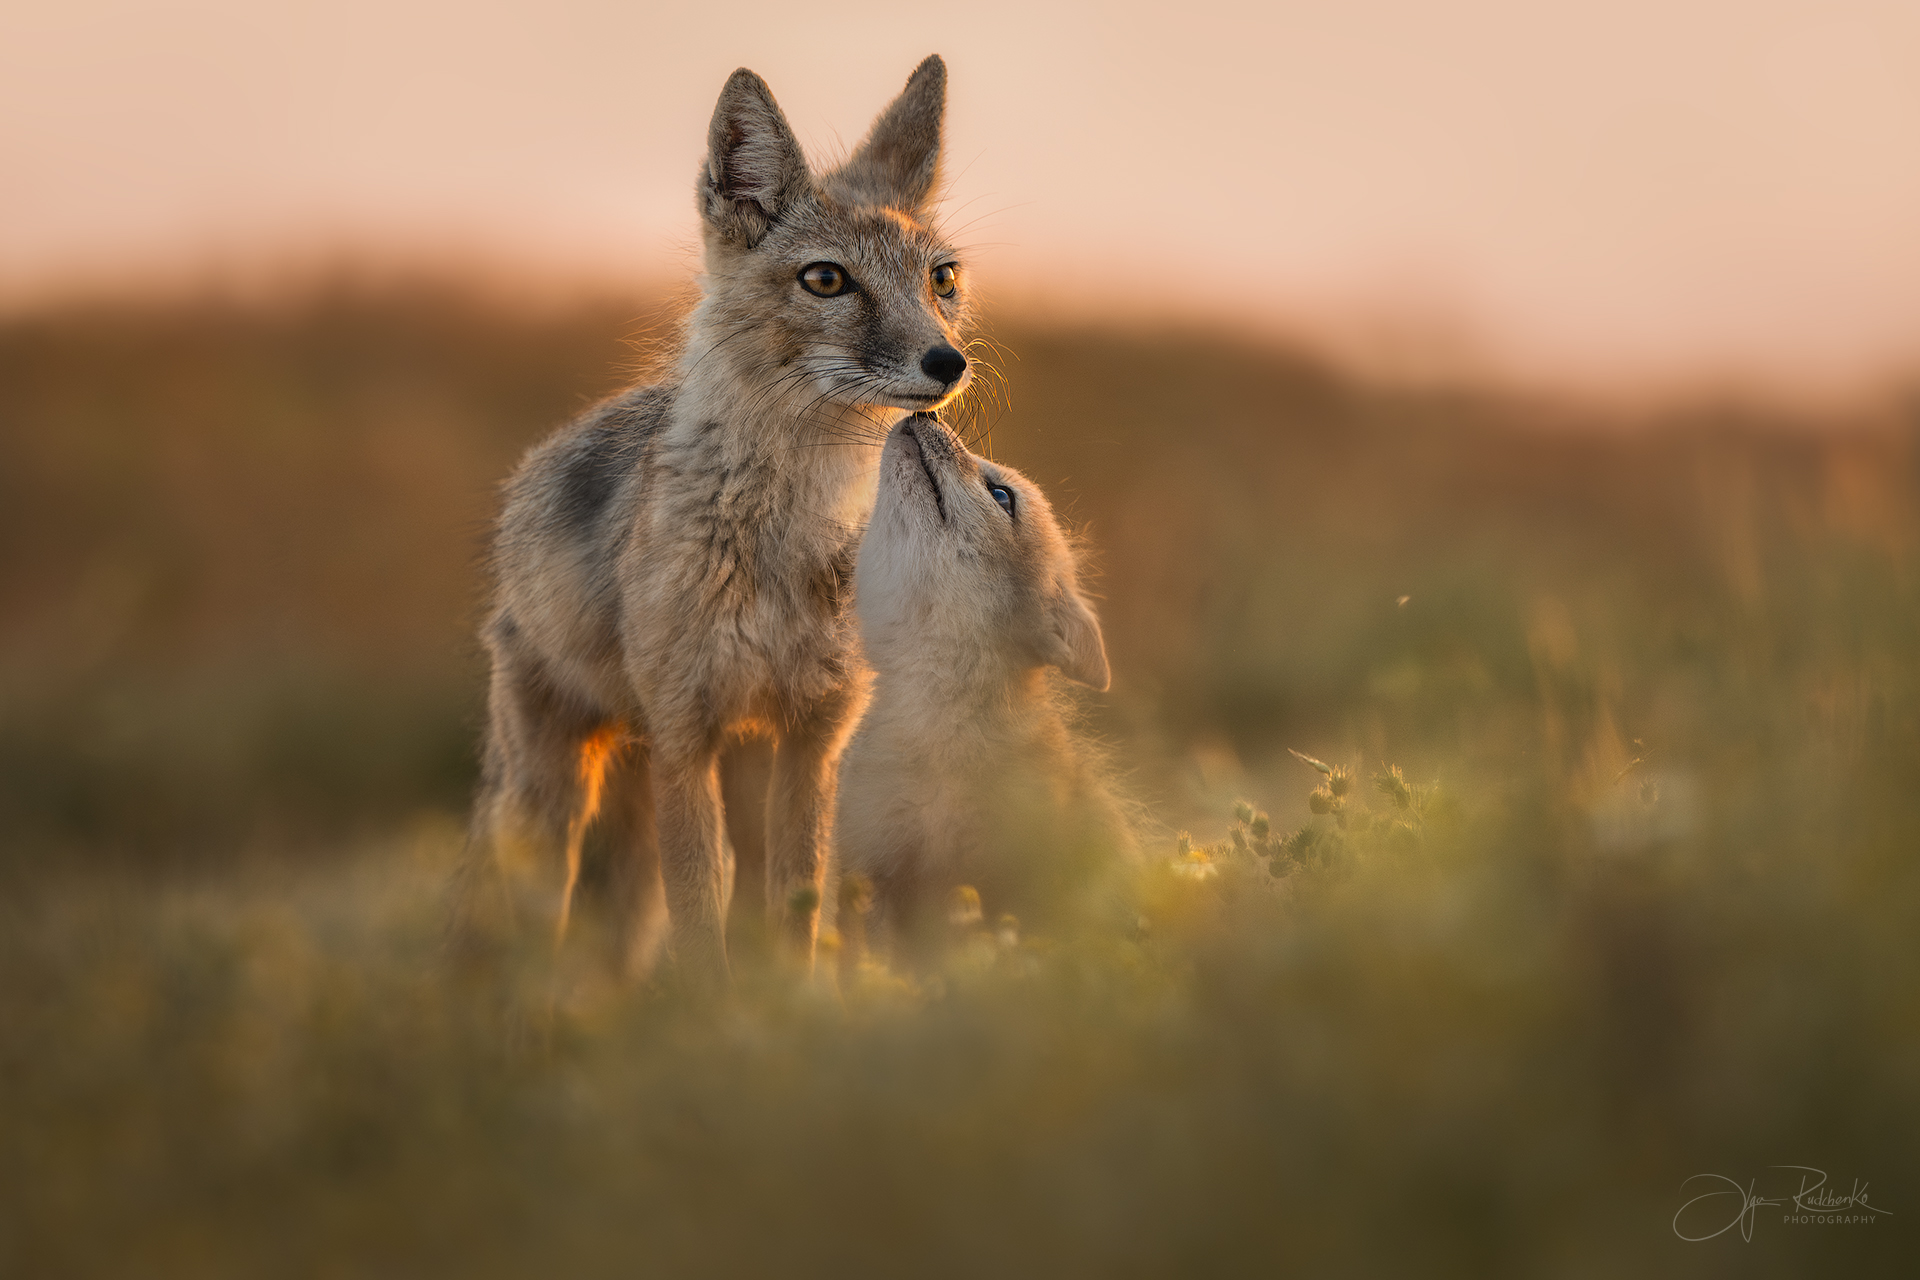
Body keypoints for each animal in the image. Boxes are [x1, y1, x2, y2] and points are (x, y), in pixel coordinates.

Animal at [450, 56, 972, 988]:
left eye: (941, 279)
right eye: (826, 279)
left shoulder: (811, 739)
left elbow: (796, 907)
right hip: (556, 797)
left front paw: (787, 1009)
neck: (786, 535)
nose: (946, 362)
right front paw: (715, 1015)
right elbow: (703, 914)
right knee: (530, 926)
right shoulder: (685, 736)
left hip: (716, 771)